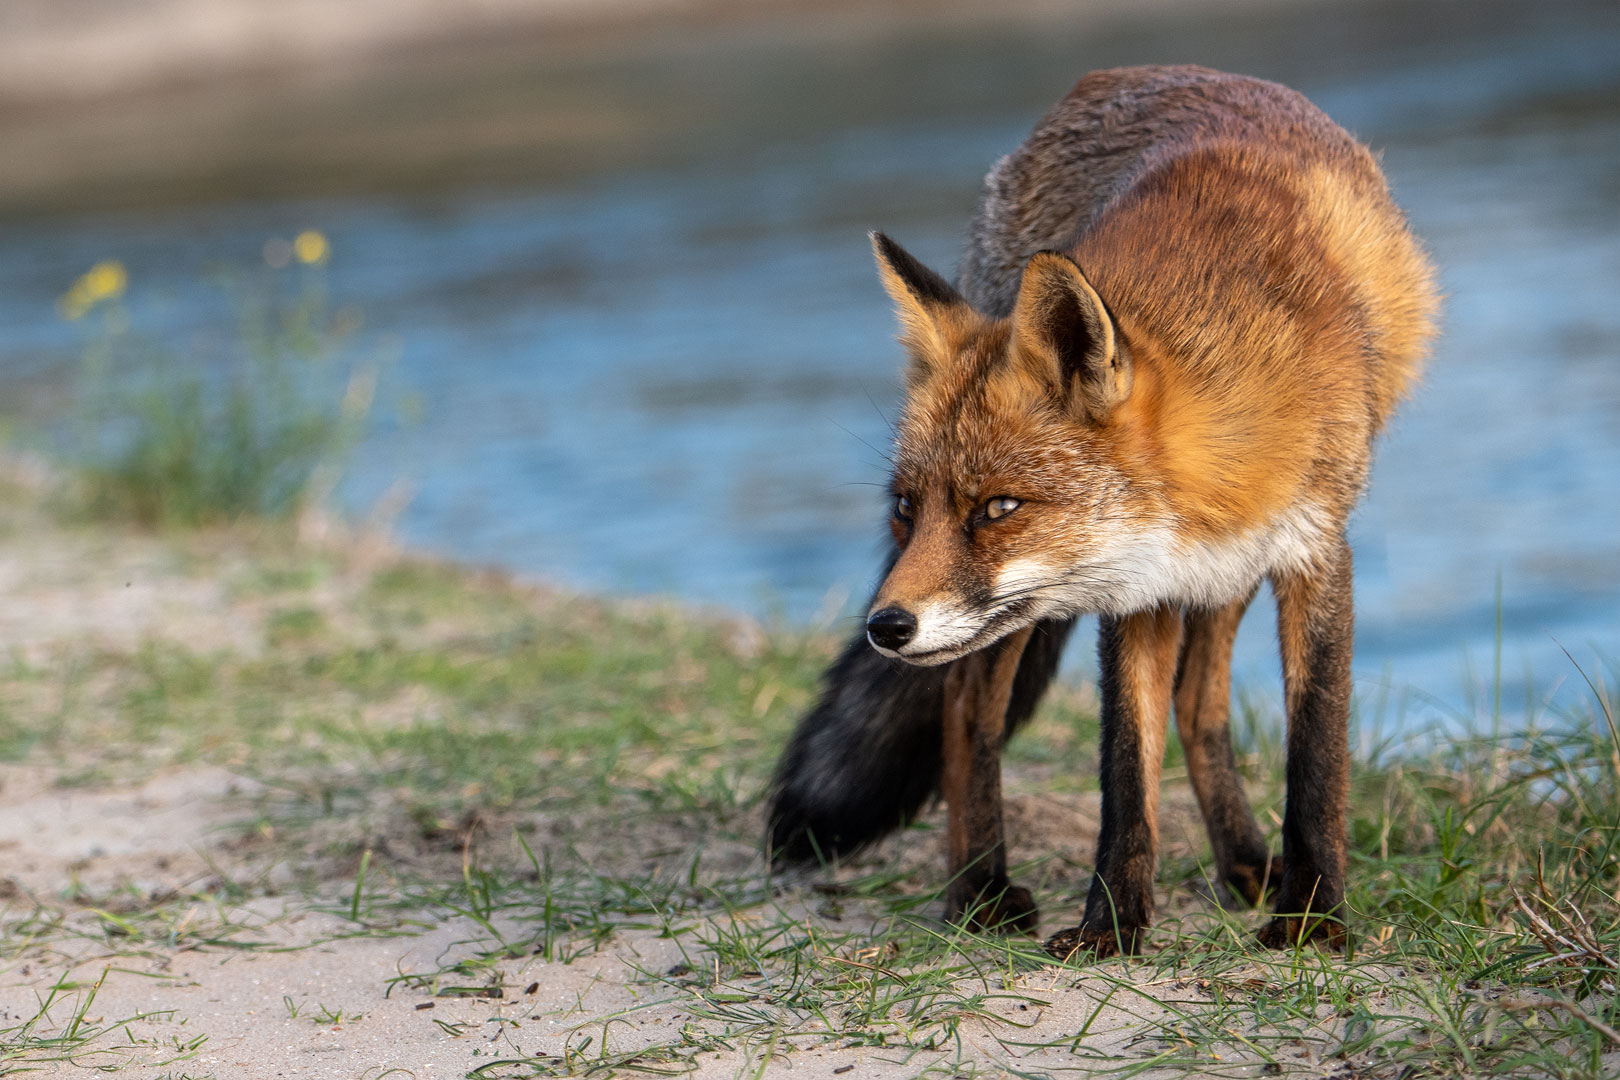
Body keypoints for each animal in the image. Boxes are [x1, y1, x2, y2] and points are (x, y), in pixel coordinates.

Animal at [764, 65, 1438, 952]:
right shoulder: (1137, 593)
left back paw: (1246, 865)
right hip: (1034, 618)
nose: (886, 627)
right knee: (967, 709)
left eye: (998, 506)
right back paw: (978, 889)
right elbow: (1124, 772)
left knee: (1198, 703)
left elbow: (1316, 755)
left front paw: (1312, 916)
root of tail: (1112, 76)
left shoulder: (1310, 553)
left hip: (1222, 577)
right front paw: (1111, 925)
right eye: (909, 507)